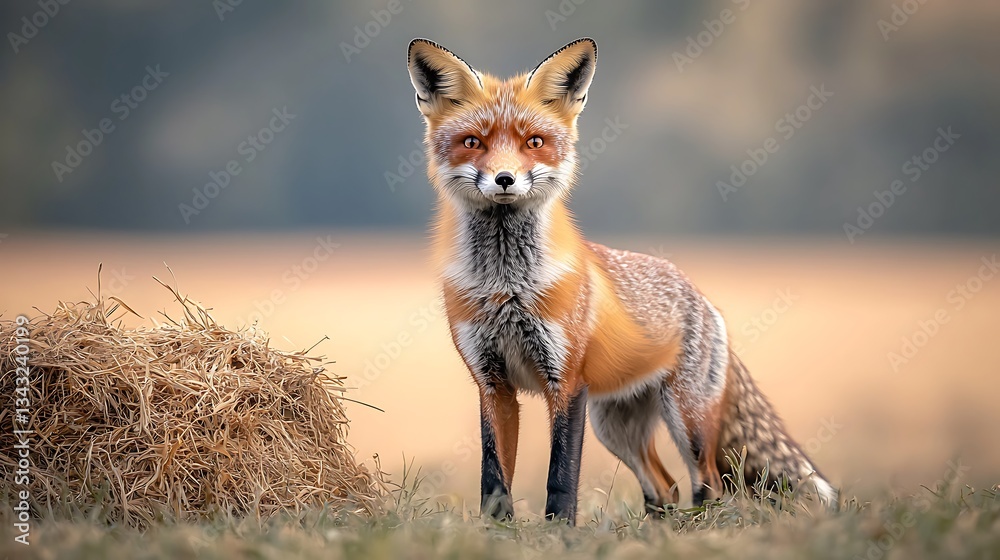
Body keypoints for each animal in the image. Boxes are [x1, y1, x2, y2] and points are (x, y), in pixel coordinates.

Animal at [405, 37, 838, 525]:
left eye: (534, 142)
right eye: (472, 143)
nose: (504, 179)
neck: (507, 286)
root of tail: (701, 295)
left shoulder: (566, 381)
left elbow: (561, 476)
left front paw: (560, 533)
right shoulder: (492, 383)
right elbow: (494, 478)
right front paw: (496, 532)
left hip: (685, 421)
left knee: (708, 484)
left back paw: (696, 529)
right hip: (616, 427)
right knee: (664, 487)